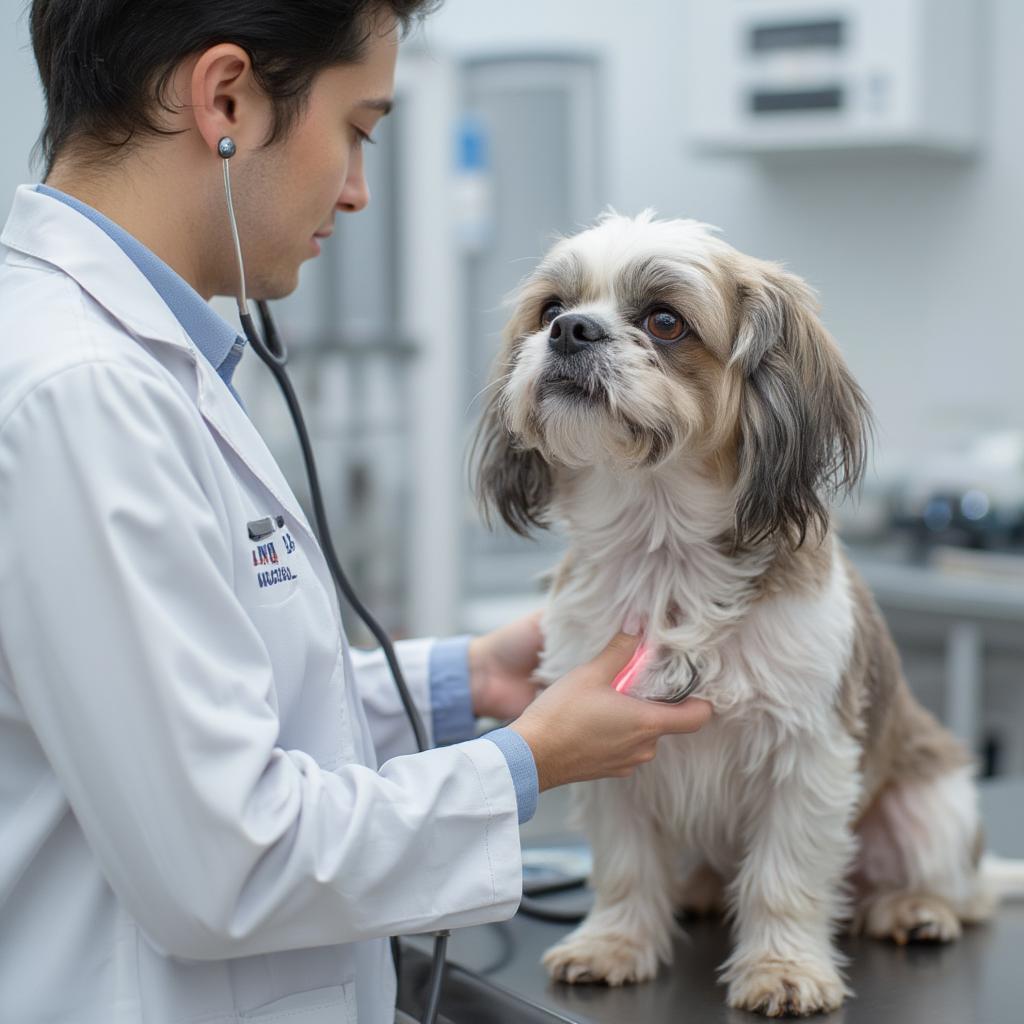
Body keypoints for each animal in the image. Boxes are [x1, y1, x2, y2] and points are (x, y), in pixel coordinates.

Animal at [473, 211, 1024, 1019]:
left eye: (664, 322)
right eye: (550, 308)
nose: (572, 330)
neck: (664, 554)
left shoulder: (806, 757)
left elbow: (784, 879)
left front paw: (783, 968)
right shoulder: (615, 763)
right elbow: (626, 866)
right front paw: (615, 942)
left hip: (933, 809)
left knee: (956, 893)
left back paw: (915, 908)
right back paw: (699, 891)